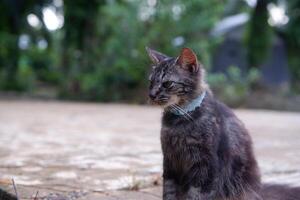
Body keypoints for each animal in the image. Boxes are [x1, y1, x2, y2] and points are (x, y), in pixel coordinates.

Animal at [146, 47, 300, 200]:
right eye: (151, 82)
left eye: (167, 83)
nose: (151, 95)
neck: (179, 122)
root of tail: (259, 191)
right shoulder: (170, 162)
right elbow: (169, 191)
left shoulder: (205, 165)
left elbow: (196, 194)